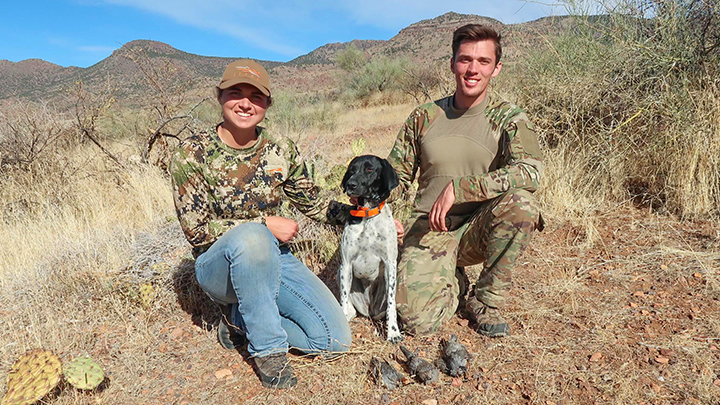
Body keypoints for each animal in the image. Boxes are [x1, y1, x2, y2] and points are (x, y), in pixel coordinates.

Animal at [336, 154, 402, 340]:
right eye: (351, 170)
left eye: (370, 169)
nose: (351, 184)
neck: (367, 217)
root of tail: (368, 309)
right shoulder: (345, 265)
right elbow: (343, 299)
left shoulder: (390, 264)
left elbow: (391, 304)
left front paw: (393, 332)